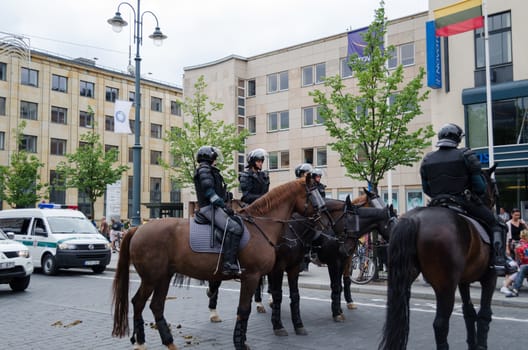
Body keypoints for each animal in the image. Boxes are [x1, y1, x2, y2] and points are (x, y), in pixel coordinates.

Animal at [111, 176, 322, 348]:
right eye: (314, 193)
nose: (322, 215)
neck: (261, 226)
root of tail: (137, 228)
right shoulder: (251, 276)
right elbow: (244, 310)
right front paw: (240, 343)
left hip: (164, 276)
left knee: (156, 306)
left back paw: (168, 342)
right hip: (151, 278)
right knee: (138, 302)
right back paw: (141, 342)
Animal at [380, 165, 500, 350]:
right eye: (493, 187)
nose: (493, 202)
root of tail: (414, 220)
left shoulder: (463, 281)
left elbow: (469, 312)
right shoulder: (490, 277)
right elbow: (484, 314)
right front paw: (480, 345)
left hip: (403, 281)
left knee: (400, 314)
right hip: (445, 286)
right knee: (441, 324)